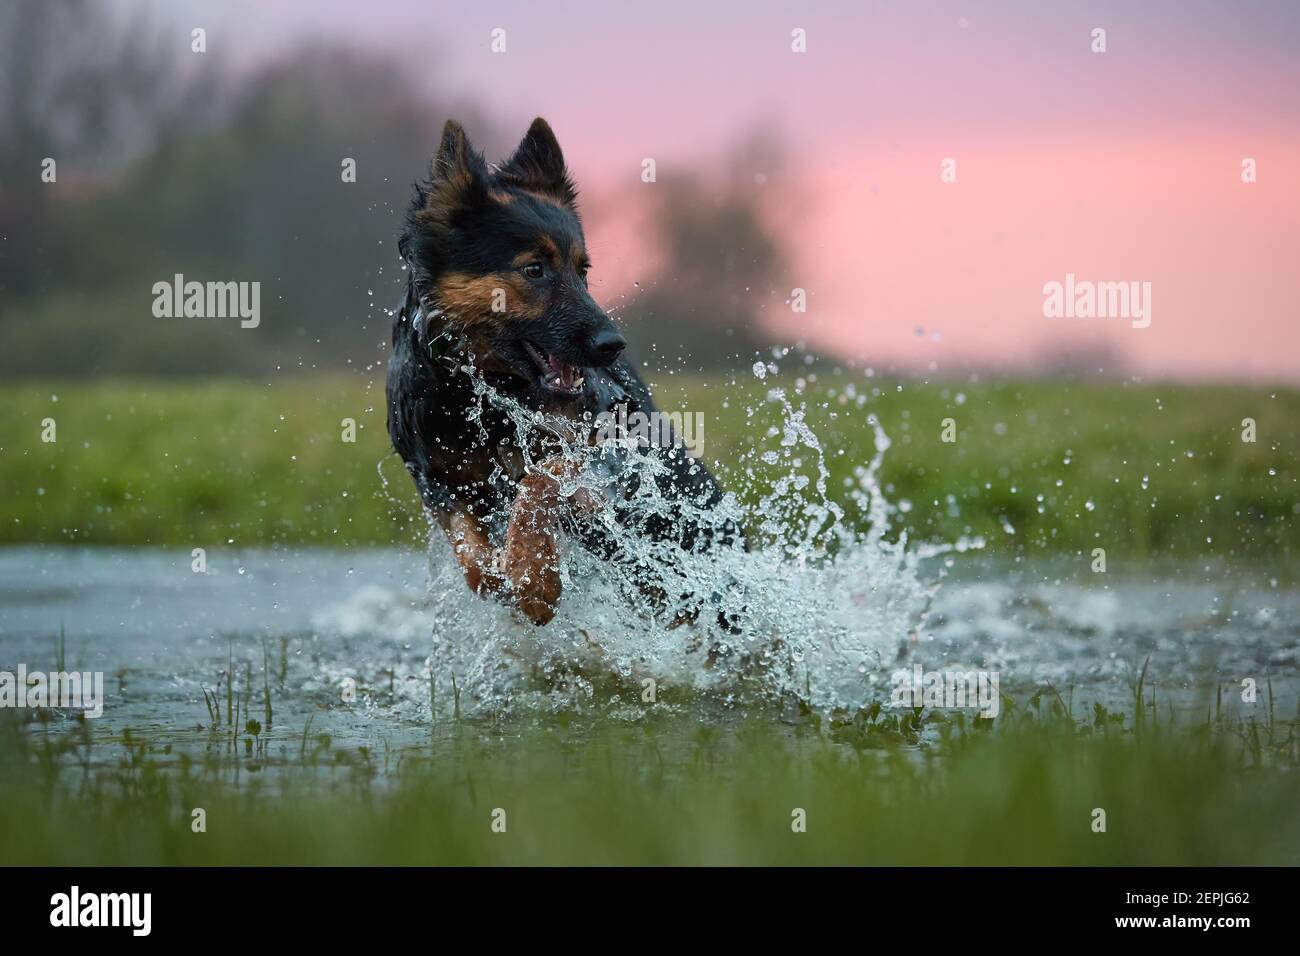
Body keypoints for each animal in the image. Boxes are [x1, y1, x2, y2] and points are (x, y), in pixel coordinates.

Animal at [384, 117, 743, 629]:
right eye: (535, 269)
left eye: (583, 271)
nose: (612, 346)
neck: (482, 391)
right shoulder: (437, 481)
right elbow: (471, 556)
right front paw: (506, 580)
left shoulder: (601, 450)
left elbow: (540, 481)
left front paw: (534, 581)